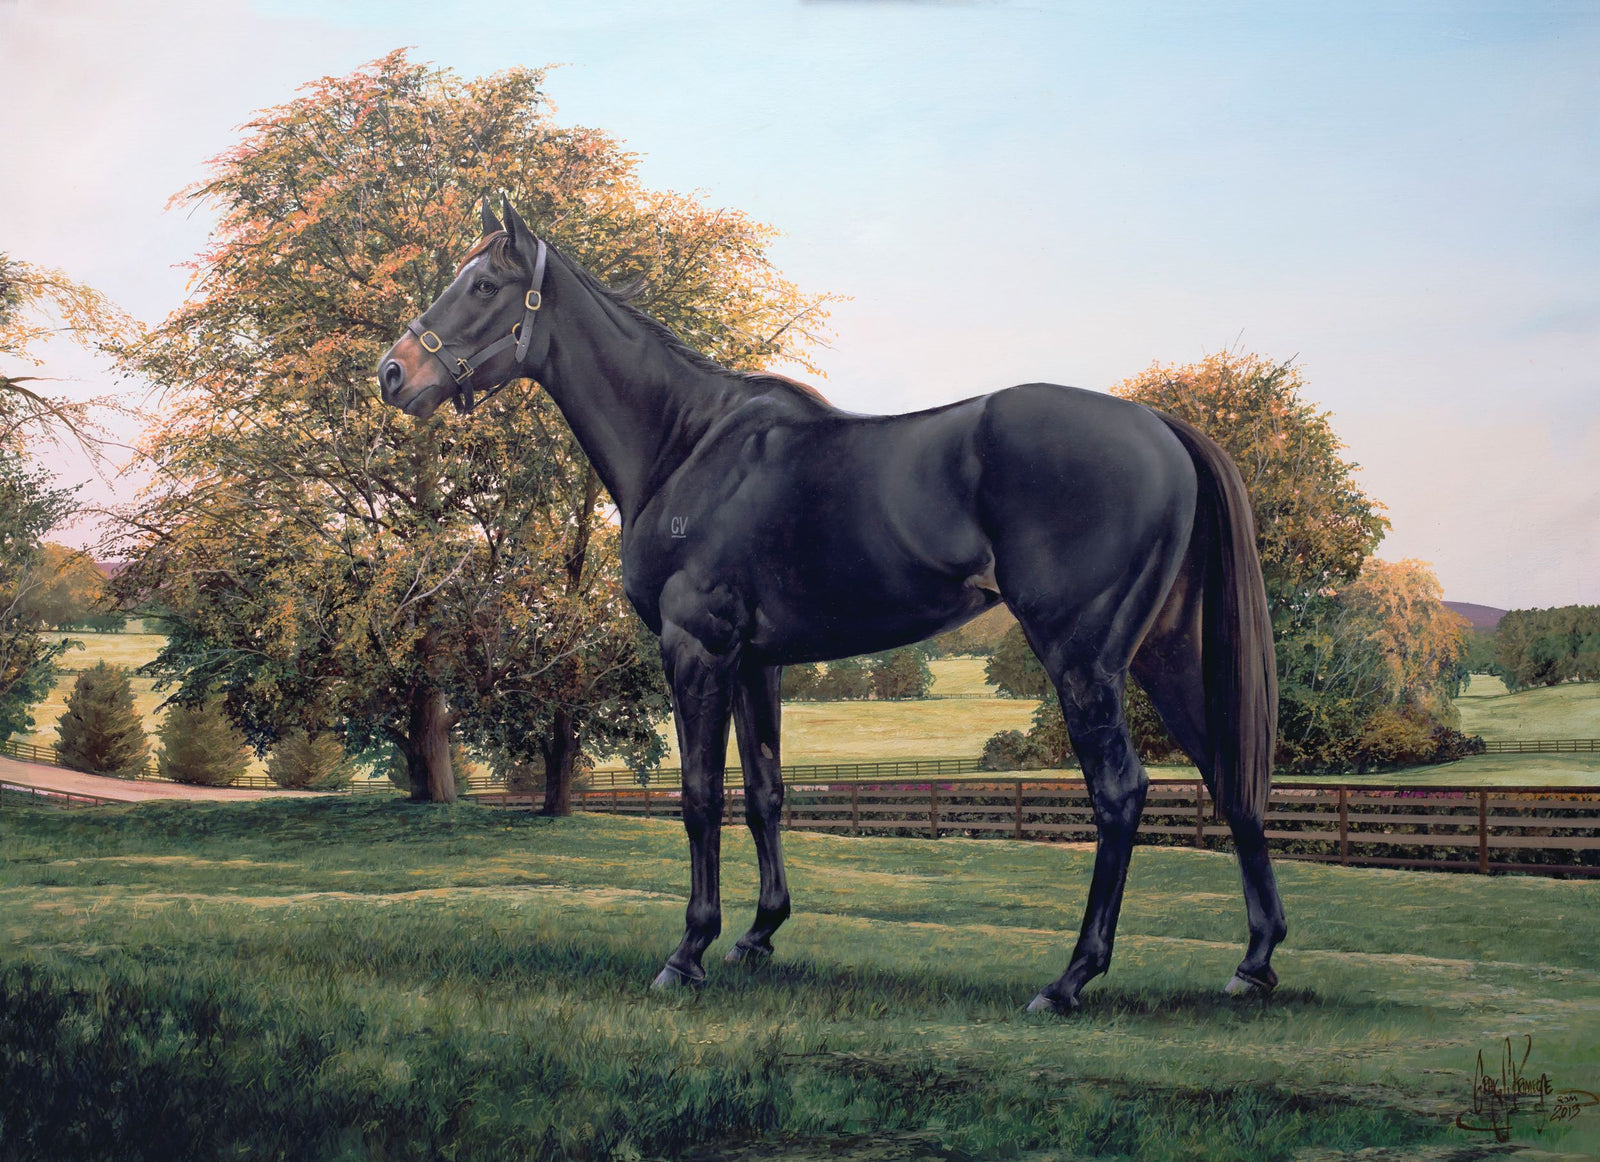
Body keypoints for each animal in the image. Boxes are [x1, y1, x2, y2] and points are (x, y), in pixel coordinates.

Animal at [376, 197, 1286, 1013]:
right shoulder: (757, 663)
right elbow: (764, 794)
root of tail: (1160, 428)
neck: (688, 444)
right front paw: (757, 935)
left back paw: (1070, 980)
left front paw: (688, 951)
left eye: (483, 285)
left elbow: (699, 796)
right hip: (1166, 652)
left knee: (1121, 793)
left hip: (1083, 657)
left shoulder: (695, 650)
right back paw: (1254, 963)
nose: (393, 373)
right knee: (1229, 777)